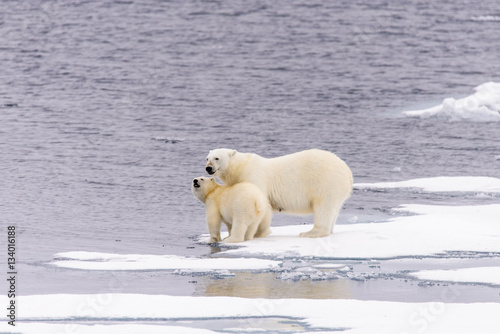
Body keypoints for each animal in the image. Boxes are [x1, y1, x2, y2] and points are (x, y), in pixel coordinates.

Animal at [203, 149, 352, 237]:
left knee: (323, 207)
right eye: (207, 158)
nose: (208, 168)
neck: (240, 167)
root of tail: (347, 171)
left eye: (217, 158)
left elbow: (262, 204)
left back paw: (310, 232)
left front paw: (259, 233)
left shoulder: (254, 177)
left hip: (325, 183)